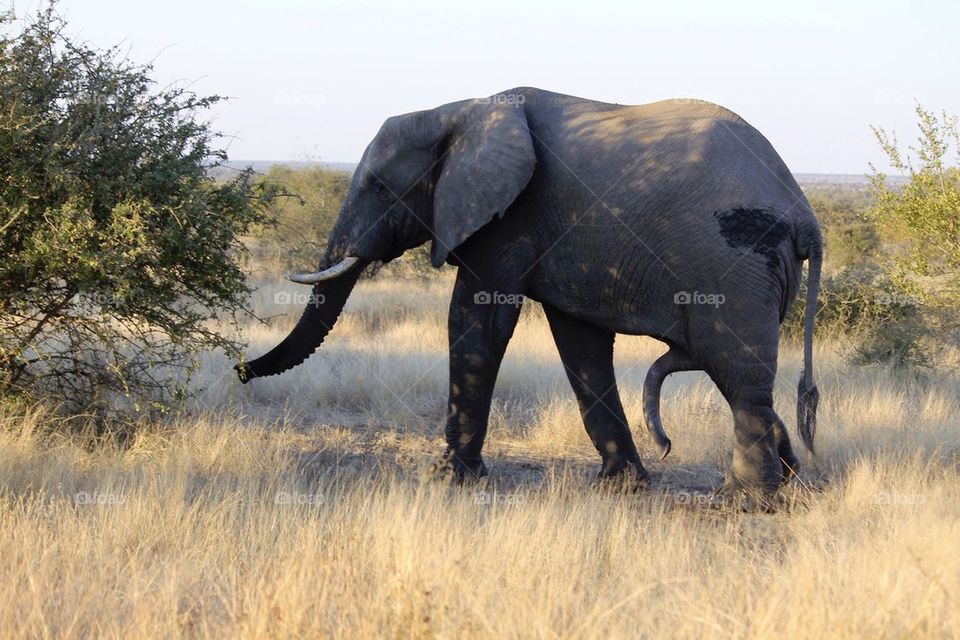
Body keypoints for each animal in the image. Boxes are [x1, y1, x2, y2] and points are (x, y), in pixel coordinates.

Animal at [236, 86, 820, 500]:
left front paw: (446, 479)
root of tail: (807, 217)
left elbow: (477, 319)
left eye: (381, 188)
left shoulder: (508, 215)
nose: (239, 370)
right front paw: (620, 487)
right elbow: (580, 344)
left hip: (738, 266)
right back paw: (787, 482)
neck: (458, 111)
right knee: (738, 376)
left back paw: (747, 500)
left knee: (739, 376)